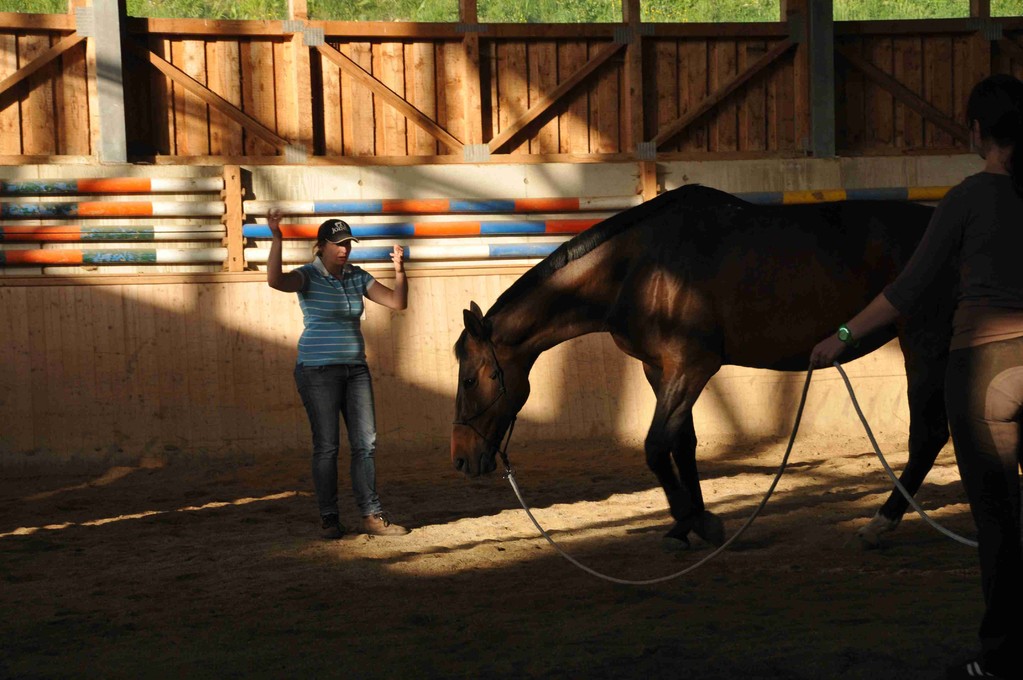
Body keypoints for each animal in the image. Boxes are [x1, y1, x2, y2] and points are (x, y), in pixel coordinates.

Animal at [452, 183, 953, 548]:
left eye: (472, 378)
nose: (461, 458)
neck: (638, 267)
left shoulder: (690, 368)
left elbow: (657, 448)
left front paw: (697, 521)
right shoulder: (662, 372)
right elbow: (683, 445)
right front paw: (686, 523)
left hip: (922, 344)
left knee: (928, 436)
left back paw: (882, 521)